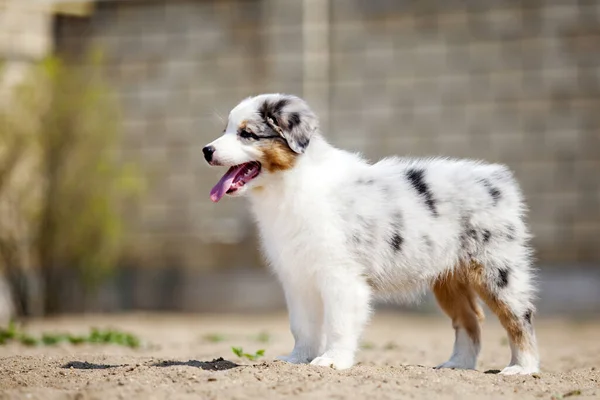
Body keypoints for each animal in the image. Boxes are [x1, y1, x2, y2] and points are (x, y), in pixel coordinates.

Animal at [202, 92, 540, 374]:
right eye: (225, 130)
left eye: (247, 133)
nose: (206, 150)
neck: (290, 184)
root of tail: (496, 177)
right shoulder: (297, 276)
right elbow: (302, 325)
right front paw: (298, 359)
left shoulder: (340, 275)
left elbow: (338, 323)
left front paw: (332, 361)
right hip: (449, 278)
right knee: (469, 319)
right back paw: (457, 365)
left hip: (498, 269)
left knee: (519, 317)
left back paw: (522, 368)